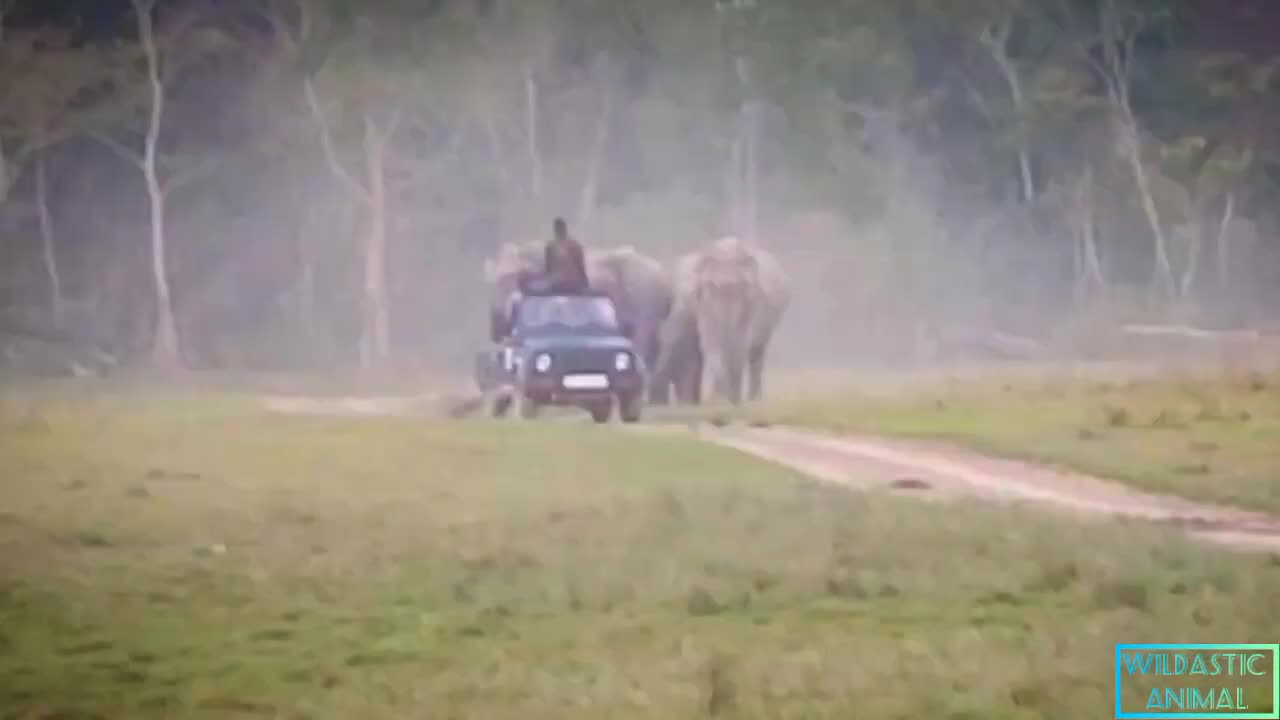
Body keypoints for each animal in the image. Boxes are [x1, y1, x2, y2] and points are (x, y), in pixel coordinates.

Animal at [481, 239, 680, 397]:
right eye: (492, 282)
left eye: (513, 278)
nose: (495, 330)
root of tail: (665, 278)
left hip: (645, 296)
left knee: (642, 342)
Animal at [655, 234, 783, 404]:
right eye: (711, 286)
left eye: (741, 286)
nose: (733, 400)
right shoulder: (702, 302)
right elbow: (710, 342)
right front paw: (720, 400)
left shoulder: (753, 300)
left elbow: (741, 344)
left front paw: (731, 400)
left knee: (757, 353)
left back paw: (754, 399)